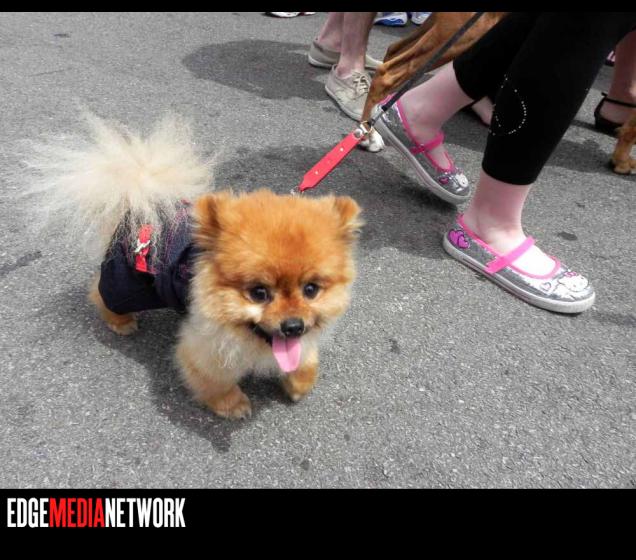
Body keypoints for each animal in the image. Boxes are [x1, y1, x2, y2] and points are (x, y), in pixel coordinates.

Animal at [29, 114, 363, 419]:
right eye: (258, 293)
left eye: (311, 290)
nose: (293, 326)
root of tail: (136, 206)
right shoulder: (207, 348)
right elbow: (213, 380)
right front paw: (232, 404)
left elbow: (304, 360)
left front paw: (299, 383)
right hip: (127, 284)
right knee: (101, 294)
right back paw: (120, 322)